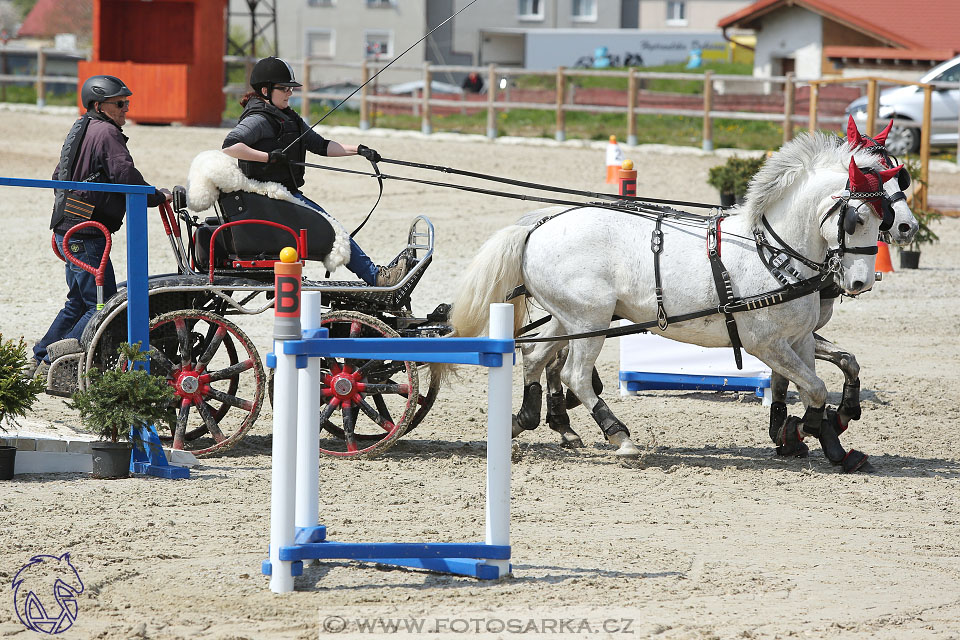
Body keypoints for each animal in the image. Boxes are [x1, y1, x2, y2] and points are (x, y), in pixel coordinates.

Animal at [448, 131, 900, 470]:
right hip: (588, 321)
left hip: (571, 318)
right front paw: (808, 433)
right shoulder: (767, 344)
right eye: (856, 219)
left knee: (537, 358)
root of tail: (537, 227)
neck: (772, 249)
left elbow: (817, 385)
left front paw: (824, 440)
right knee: (575, 374)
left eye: (884, 217)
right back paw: (619, 436)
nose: (861, 281)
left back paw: (525, 420)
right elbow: (816, 387)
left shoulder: (800, 339)